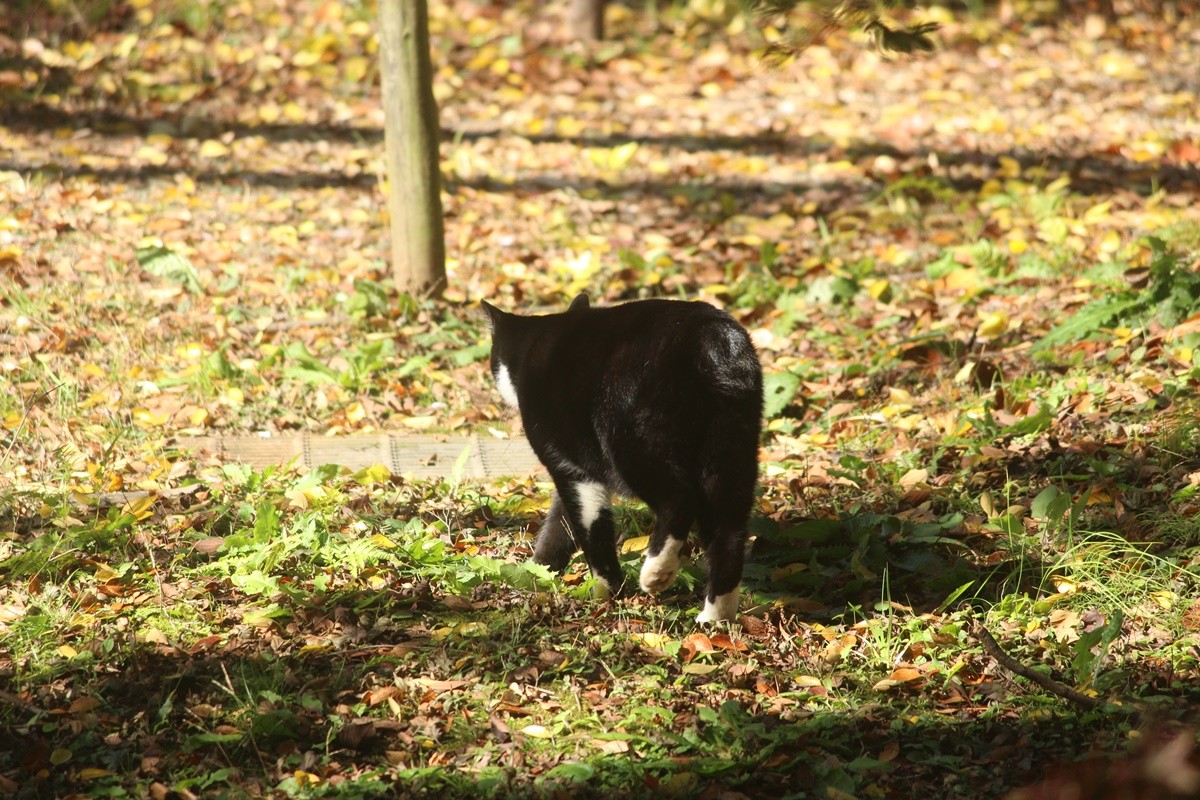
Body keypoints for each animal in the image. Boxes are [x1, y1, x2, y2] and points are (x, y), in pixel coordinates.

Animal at [477, 293, 758, 623]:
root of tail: (711, 338)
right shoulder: (575, 466)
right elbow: (561, 522)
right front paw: (537, 571)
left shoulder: (569, 468)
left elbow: (589, 527)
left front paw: (605, 592)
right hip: (731, 447)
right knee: (729, 531)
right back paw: (715, 617)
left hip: (634, 444)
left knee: (679, 499)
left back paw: (657, 572)